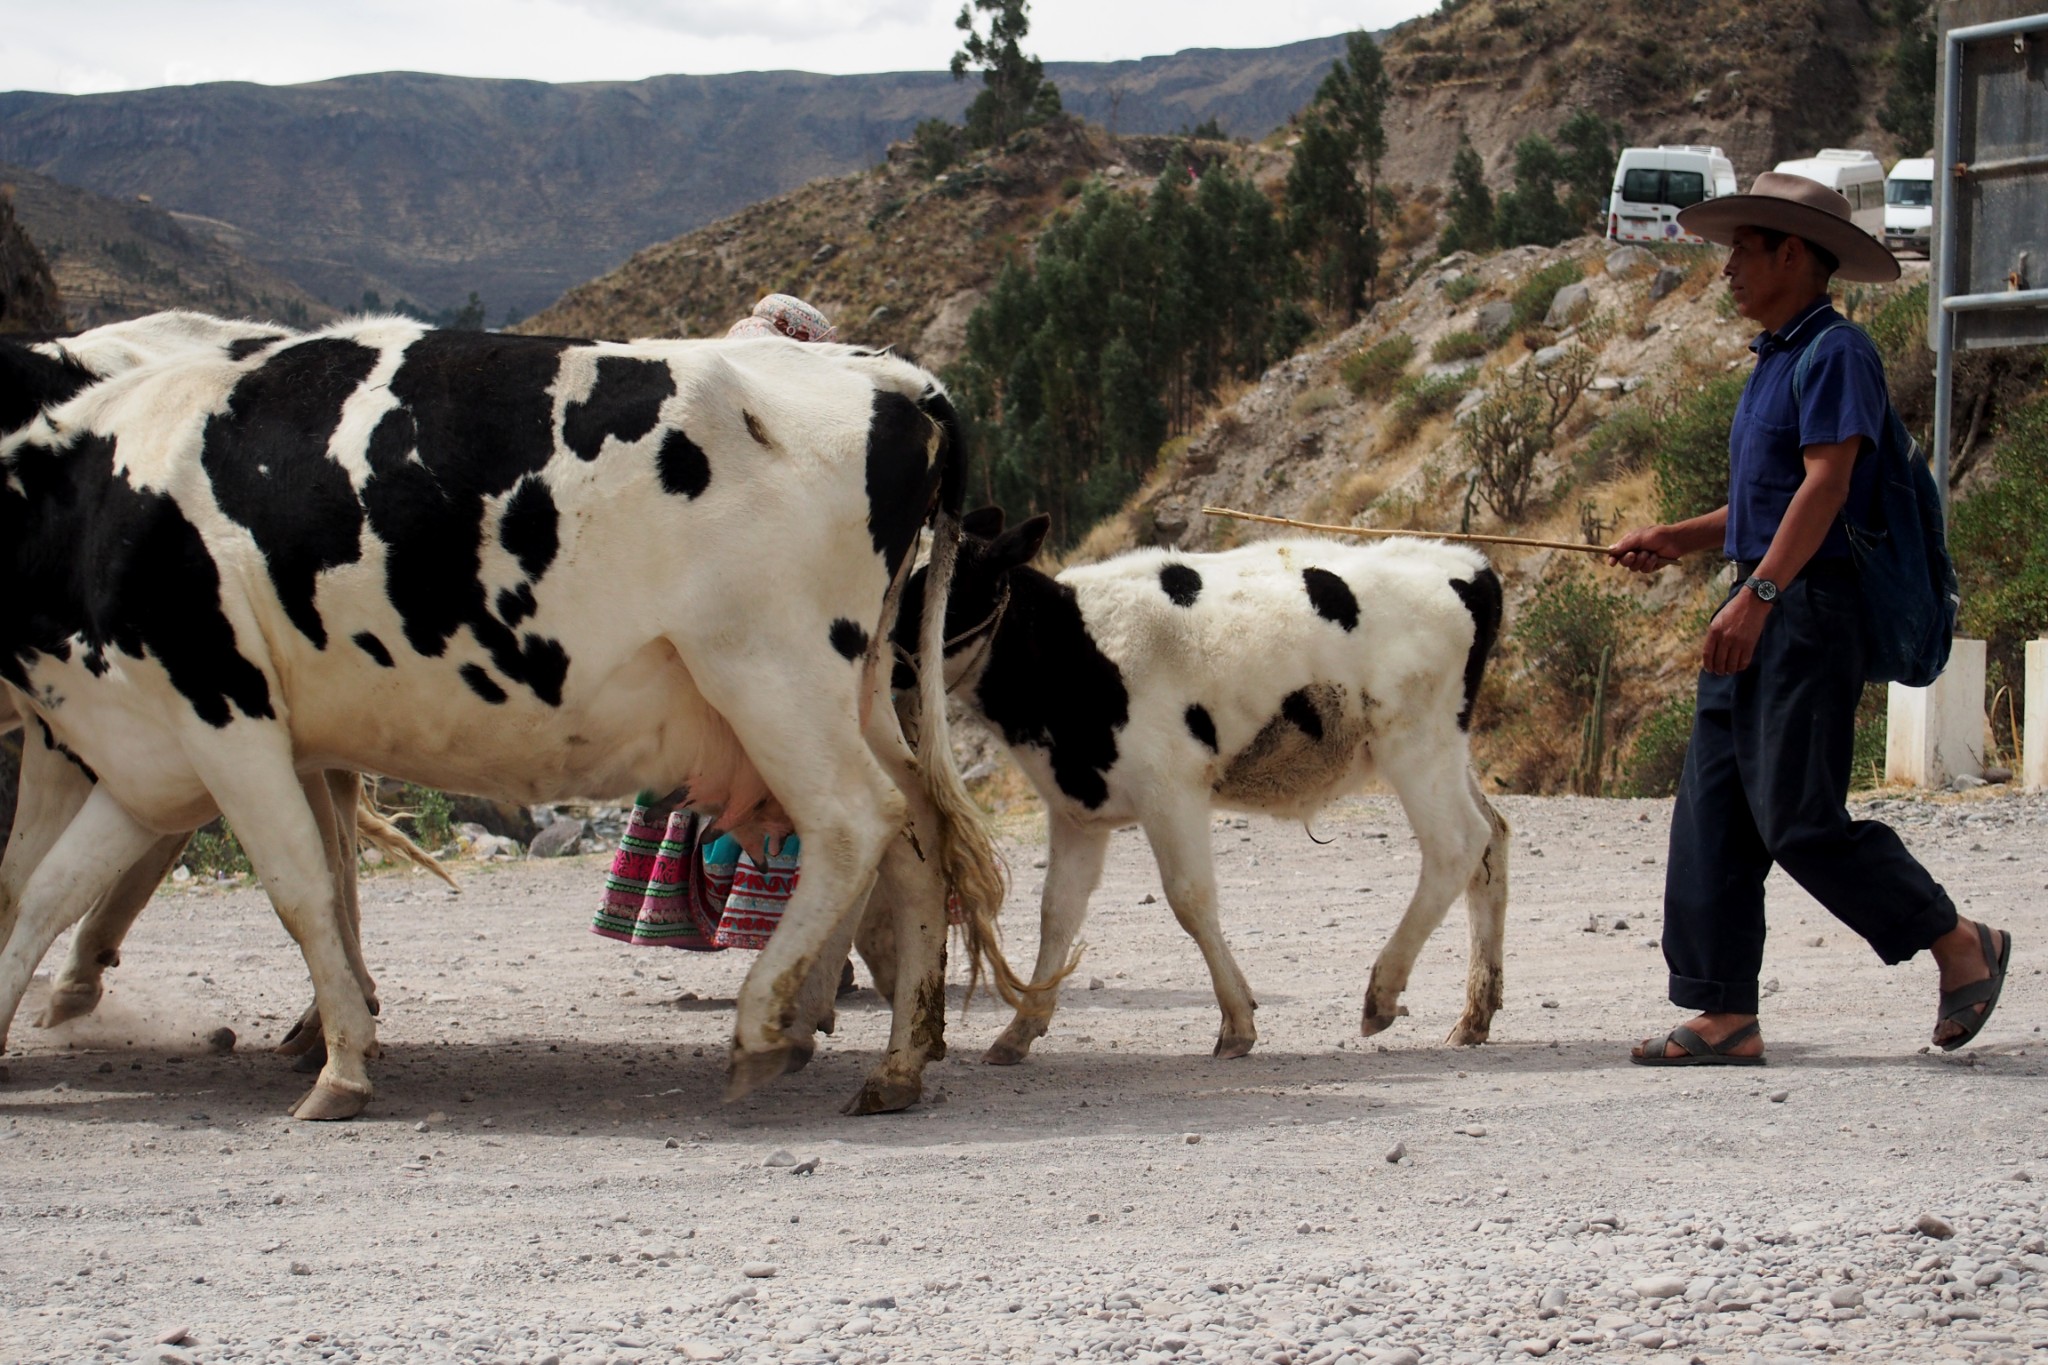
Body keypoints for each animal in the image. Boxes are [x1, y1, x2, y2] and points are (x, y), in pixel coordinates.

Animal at [0, 321, 1007, 1121]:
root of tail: (890, 378)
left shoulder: (226, 713)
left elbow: (301, 888)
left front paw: (342, 1064)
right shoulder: (144, 751)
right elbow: (44, 891)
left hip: (769, 672)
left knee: (855, 818)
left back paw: (767, 1025)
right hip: (857, 689)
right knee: (917, 833)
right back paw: (897, 1066)